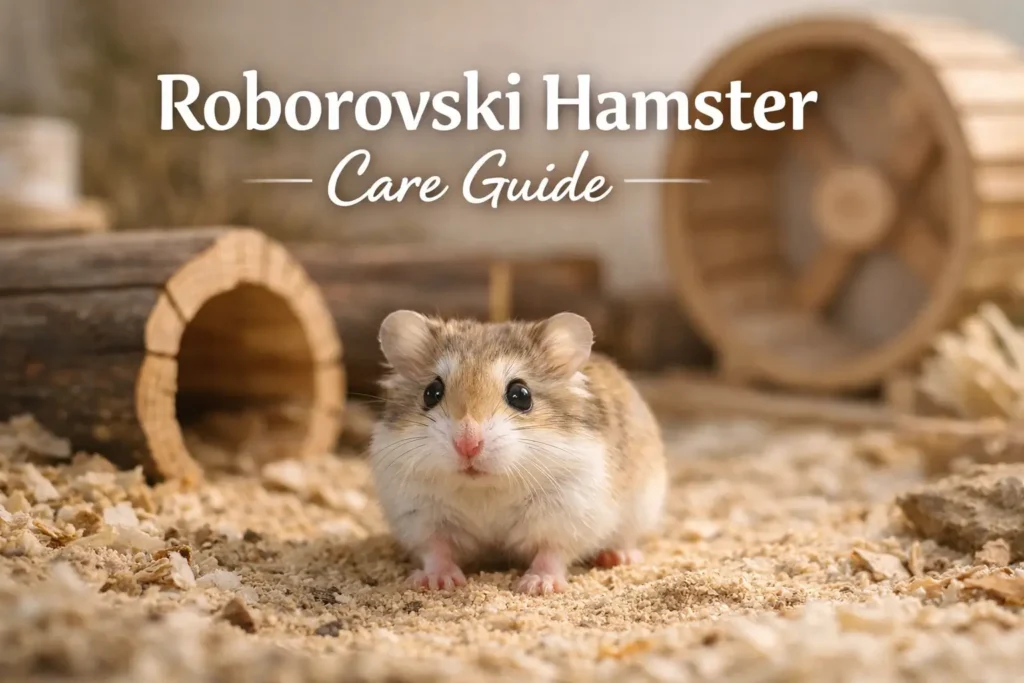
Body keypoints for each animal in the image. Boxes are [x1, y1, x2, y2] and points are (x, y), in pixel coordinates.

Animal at [368, 310, 667, 595]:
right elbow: (436, 550)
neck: (484, 489)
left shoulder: (566, 512)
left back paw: (619, 556)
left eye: (521, 395)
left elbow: (551, 552)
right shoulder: (420, 515)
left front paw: (539, 586)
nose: (467, 445)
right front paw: (437, 582)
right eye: (431, 392)